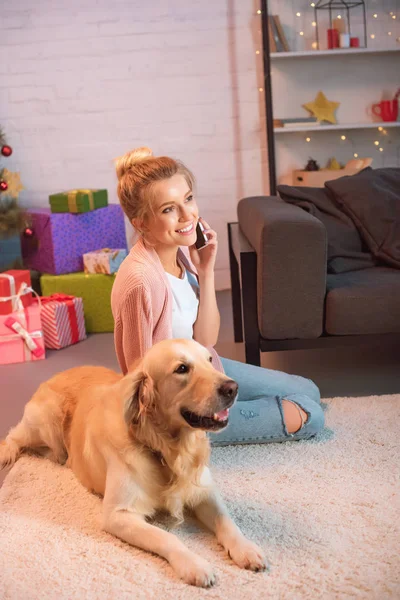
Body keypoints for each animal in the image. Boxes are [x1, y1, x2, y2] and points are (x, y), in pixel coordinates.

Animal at [0, 340, 268, 588]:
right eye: (182, 368)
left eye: (209, 360)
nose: (232, 388)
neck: (165, 449)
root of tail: (57, 373)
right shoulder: (118, 514)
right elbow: (167, 538)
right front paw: (194, 564)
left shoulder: (204, 491)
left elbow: (227, 521)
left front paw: (246, 549)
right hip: (46, 423)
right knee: (15, 436)